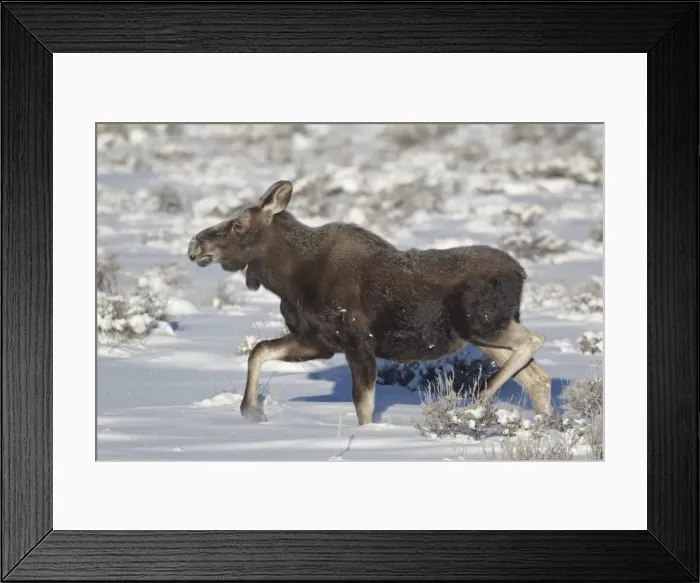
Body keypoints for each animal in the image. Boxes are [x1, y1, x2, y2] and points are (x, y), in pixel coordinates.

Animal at [187, 180, 552, 426]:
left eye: (238, 225)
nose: (194, 245)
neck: (287, 280)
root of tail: (521, 273)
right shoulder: (317, 341)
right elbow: (259, 351)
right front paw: (251, 411)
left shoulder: (357, 342)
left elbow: (363, 405)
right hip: (483, 335)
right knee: (538, 377)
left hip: (483, 324)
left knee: (535, 341)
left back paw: (477, 399)